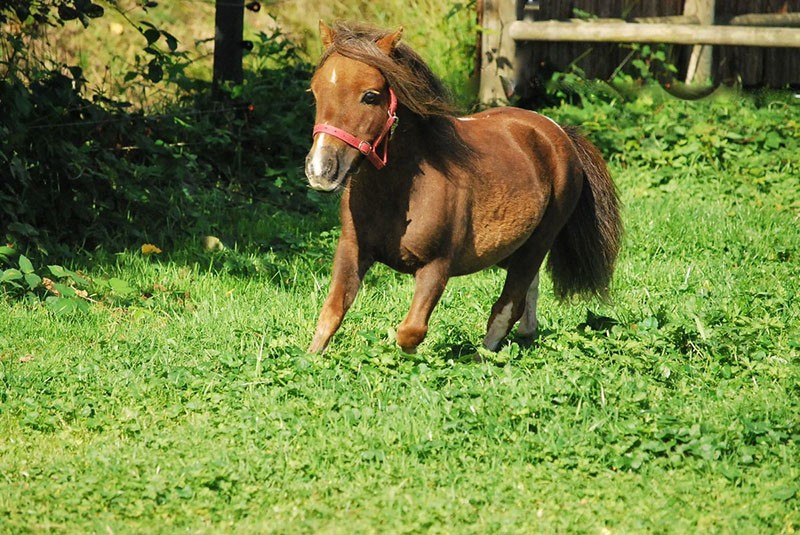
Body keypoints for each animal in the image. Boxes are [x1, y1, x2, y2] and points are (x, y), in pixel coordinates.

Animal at [304, 22, 620, 356]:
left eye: (369, 96)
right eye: (315, 90)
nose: (321, 169)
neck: (399, 192)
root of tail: (558, 132)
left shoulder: (437, 266)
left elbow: (411, 331)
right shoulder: (352, 250)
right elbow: (331, 313)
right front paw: (311, 359)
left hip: (538, 242)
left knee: (508, 304)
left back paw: (486, 355)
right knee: (527, 292)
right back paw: (526, 334)